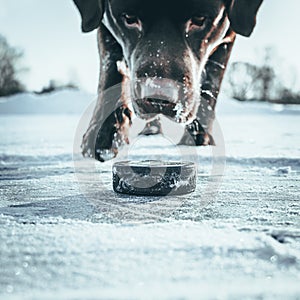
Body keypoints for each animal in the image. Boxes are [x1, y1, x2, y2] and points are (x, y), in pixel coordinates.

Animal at [72, 0, 262, 162]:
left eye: (199, 20)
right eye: (129, 18)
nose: (159, 96)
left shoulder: (227, 37)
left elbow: (211, 84)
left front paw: (199, 139)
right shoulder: (104, 24)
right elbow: (110, 71)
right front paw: (105, 135)